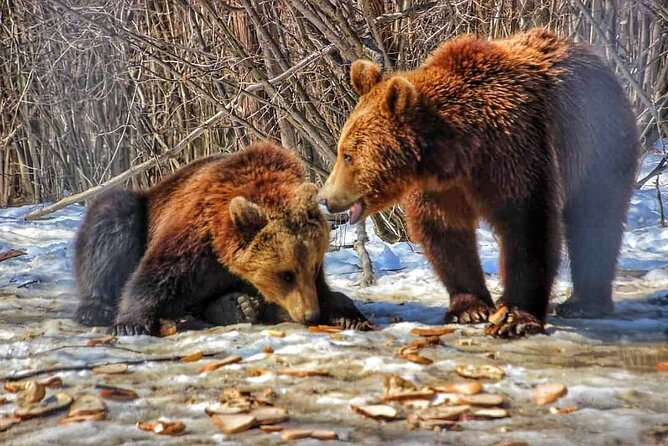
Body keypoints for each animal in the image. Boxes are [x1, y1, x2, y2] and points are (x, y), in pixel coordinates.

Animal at [73, 141, 372, 335]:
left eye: (312, 267)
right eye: (285, 274)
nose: (311, 314)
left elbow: (328, 293)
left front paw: (348, 315)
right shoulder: (195, 236)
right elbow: (157, 275)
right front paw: (132, 323)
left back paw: (237, 306)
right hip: (141, 211)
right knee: (110, 221)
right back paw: (95, 309)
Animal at [317, 28, 639, 337]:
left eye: (347, 155)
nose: (324, 197)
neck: (460, 152)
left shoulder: (513, 151)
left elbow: (526, 224)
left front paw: (514, 318)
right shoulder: (441, 187)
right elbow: (444, 230)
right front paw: (469, 308)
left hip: (598, 144)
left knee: (596, 220)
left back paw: (584, 303)